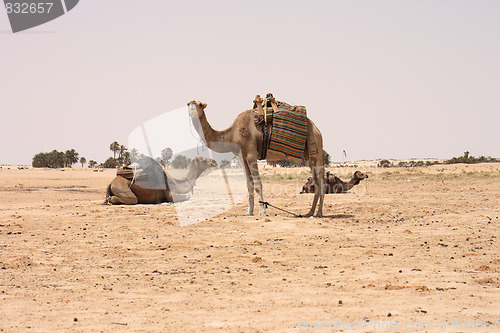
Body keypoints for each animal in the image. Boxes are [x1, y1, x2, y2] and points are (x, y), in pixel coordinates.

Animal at [188, 98, 324, 218]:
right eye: (189, 104)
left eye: (199, 104)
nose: (191, 111)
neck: (232, 134)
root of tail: (317, 128)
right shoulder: (241, 156)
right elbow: (249, 185)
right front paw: (249, 212)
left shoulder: (251, 154)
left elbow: (258, 184)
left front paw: (262, 212)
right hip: (308, 156)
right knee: (316, 182)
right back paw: (309, 213)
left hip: (316, 148)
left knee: (321, 182)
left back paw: (319, 213)